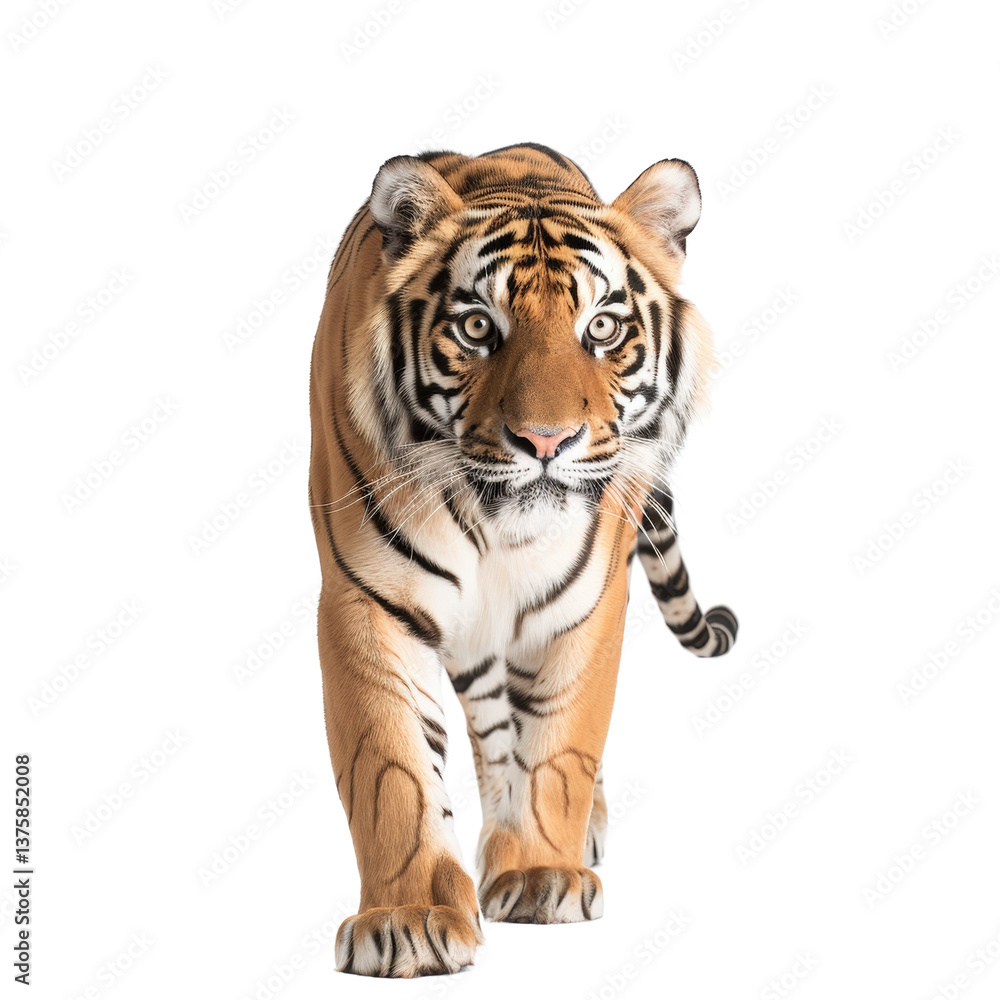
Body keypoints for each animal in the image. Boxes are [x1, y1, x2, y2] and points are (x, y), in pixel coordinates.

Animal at [307, 142, 738, 978]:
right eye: (479, 327)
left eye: (602, 327)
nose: (546, 440)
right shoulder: (365, 601)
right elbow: (392, 769)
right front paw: (408, 919)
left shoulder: (587, 606)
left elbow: (562, 745)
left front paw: (541, 875)